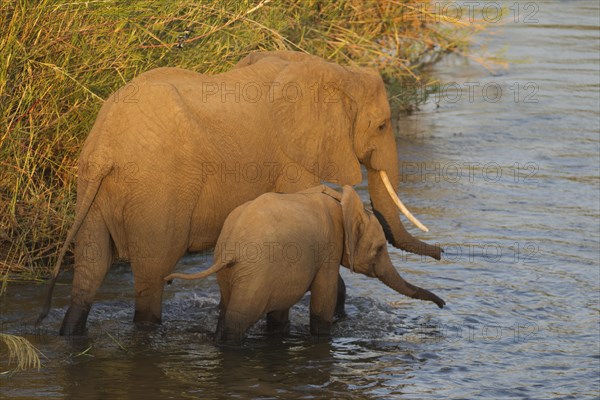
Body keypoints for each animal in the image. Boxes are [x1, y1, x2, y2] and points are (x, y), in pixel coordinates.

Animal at [165, 185, 446, 344]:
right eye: (378, 249)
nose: (443, 305)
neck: (341, 200)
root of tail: (230, 243)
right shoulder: (328, 246)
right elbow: (324, 297)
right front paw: (323, 339)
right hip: (255, 275)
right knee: (238, 319)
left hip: (236, 273)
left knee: (226, 309)